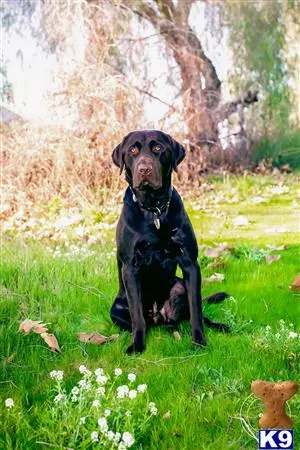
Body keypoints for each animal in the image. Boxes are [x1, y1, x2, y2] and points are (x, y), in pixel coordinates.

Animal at [110, 131, 227, 356]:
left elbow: (196, 310)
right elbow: (137, 315)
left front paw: (199, 341)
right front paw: (137, 345)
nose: (144, 169)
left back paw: (217, 325)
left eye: (157, 148)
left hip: (179, 286)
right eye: (133, 150)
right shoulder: (130, 267)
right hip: (117, 308)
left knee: (190, 313)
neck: (154, 210)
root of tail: (160, 317)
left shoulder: (190, 263)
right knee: (143, 320)